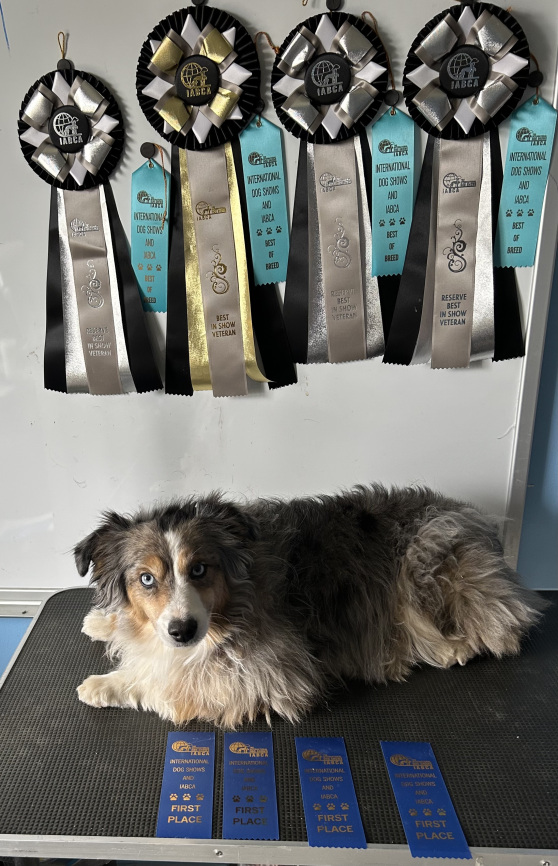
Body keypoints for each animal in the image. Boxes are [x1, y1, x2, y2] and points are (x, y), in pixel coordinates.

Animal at [74, 485, 544, 728]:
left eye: (200, 569)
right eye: (146, 579)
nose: (182, 631)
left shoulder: (273, 674)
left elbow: (167, 683)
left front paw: (105, 683)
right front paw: (105, 622)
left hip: (426, 558)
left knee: (497, 629)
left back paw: (451, 649)